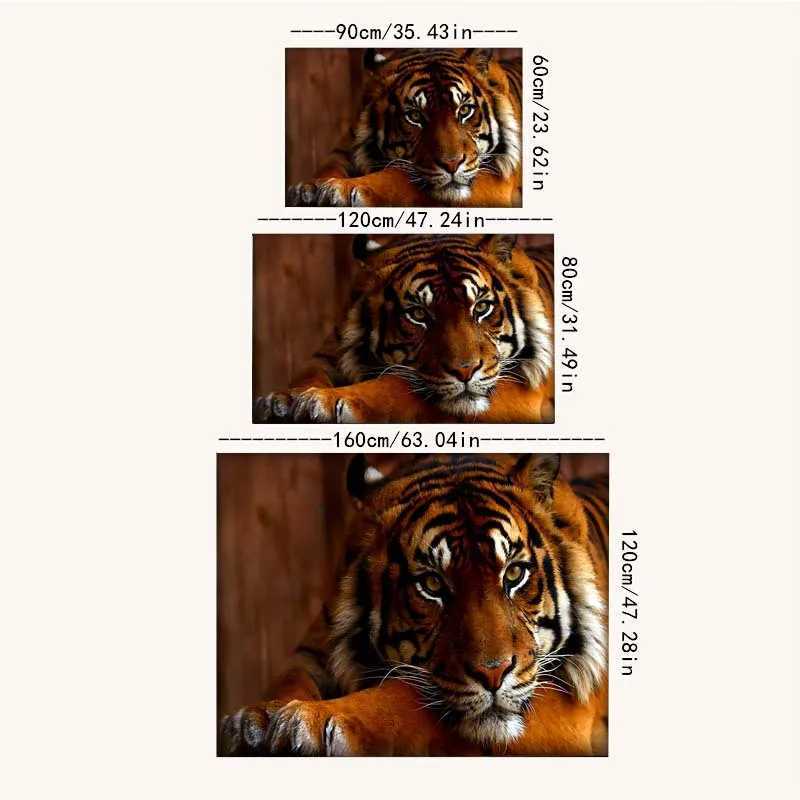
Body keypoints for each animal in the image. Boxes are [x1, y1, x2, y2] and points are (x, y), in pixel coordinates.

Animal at [219, 453, 609, 756]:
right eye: (432, 584)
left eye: (514, 573)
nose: (494, 674)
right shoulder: (313, 653)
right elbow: (288, 681)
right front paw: (257, 721)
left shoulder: (568, 701)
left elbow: (401, 696)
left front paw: (311, 721)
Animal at [254, 234, 554, 424]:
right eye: (418, 314)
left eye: (481, 307)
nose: (465, 371)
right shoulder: (329, 355)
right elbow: (308, 375)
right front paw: (283, 401)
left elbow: (393, 386)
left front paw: (325, 402)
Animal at [287, 48, 522, 208]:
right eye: (415, 116)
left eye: (464, 110)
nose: (452, 164)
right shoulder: (346, 148)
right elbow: (329, 167)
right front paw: (309, 188)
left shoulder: (494, 179)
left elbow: (397, 176)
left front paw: (341, 189)